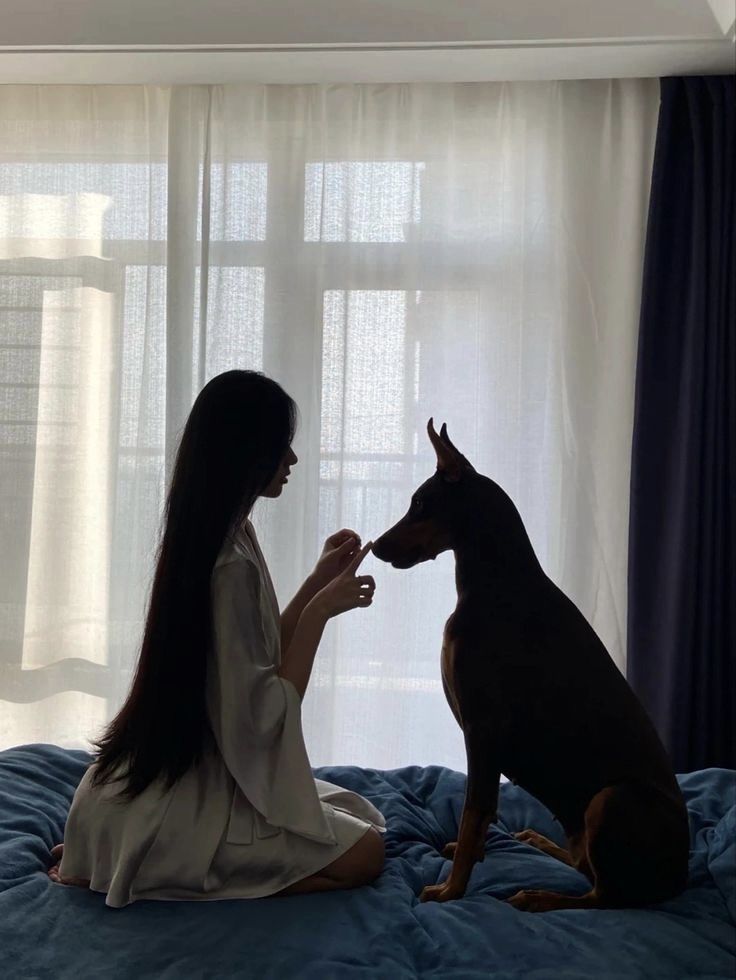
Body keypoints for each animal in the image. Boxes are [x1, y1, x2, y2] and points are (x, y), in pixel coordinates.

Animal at [374, 422, 688, 912]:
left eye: (421, 503)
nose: (375, 546)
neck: (496, 583)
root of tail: (684, 874)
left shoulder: (482, 729)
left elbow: (474, 811)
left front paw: (451, 890)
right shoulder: (482, 737)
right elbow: (480, 817)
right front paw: (474, 856)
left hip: (610, 799)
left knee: (606, 895)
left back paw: (539, 897)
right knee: (584, 864)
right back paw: (539, 842)